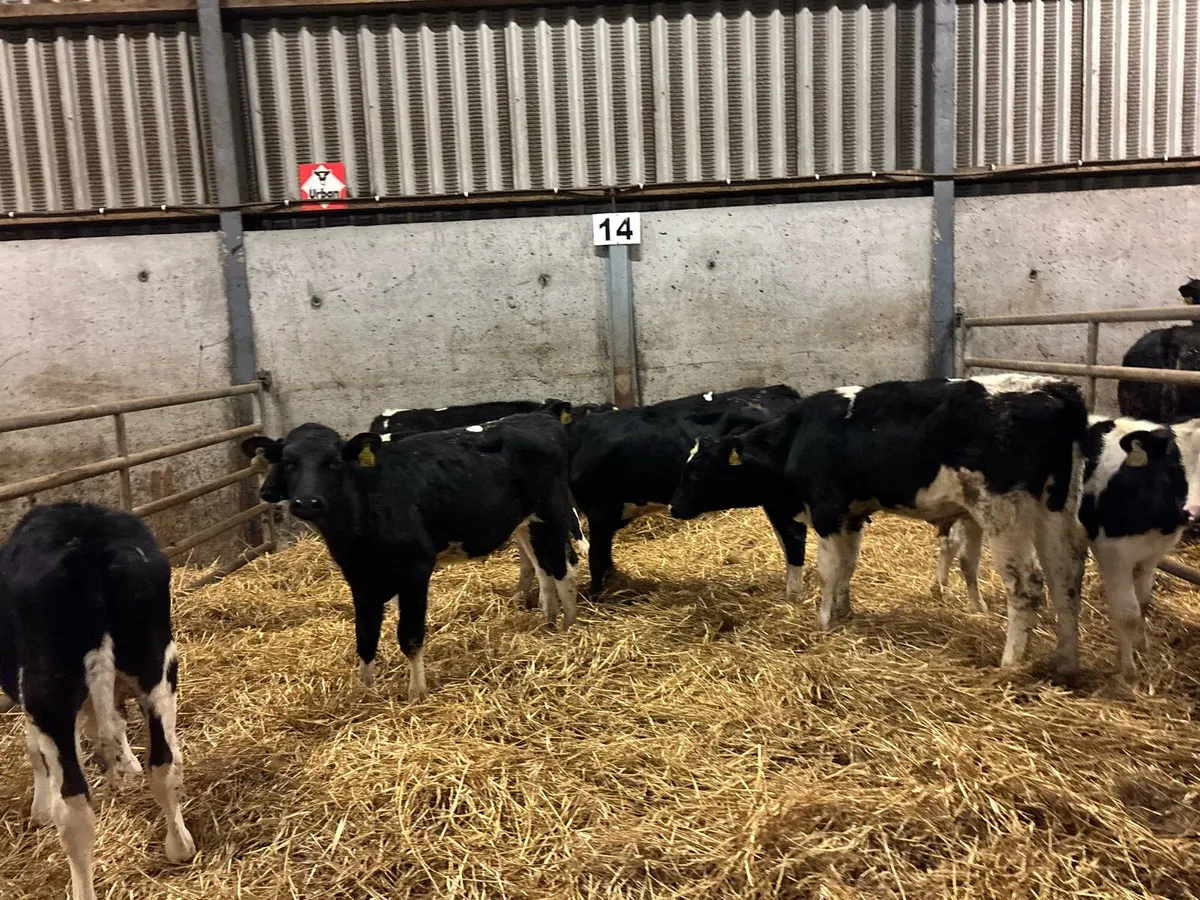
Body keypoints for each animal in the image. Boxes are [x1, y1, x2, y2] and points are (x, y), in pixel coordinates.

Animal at [0, 502, 197, 900]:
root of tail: (89, 548)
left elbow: (36, 753)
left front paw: (39, 810)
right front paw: (124, 767)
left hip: (49, 695)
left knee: (73, 807)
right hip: (158, 666)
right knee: (165, 765)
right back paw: (180, 846)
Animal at [242, 412, 579, 700]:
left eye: (335, 462)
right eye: (288, 462)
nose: (307, 502)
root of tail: (539, 417)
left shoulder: (416, 570)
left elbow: (410, 636)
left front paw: (416, 693)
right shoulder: (359, 577)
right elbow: (365, 638)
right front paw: (364, 692)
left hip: (553, 513)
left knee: (563, 568)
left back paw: (569, 625)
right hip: (526, 523)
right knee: (543, 569)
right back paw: (548, 621)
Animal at [669, 375, 1090, 675]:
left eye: (696, 472)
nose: (674, 507)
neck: (800, 434)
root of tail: (1054, 388)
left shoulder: (826, 509)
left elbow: (828, 569)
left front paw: (823, 622)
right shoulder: (852, 514)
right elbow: (847, 567)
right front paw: (843, 612)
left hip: (1002, 511)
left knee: (1026, 586)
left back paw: (1010, 663)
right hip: (1057, 508)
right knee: (1065, 578)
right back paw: (1066, 661)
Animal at [937, 414, 1200, 679]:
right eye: (1173, 467)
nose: (1193, 511)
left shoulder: (1150, 556)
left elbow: (1144, 603)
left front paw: (1142, 647)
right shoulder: (1114, 553)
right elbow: (1128, 613)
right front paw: (1127, 672)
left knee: (967, 555)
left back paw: (975, 605)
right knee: (951, 544)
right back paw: (940, 588)